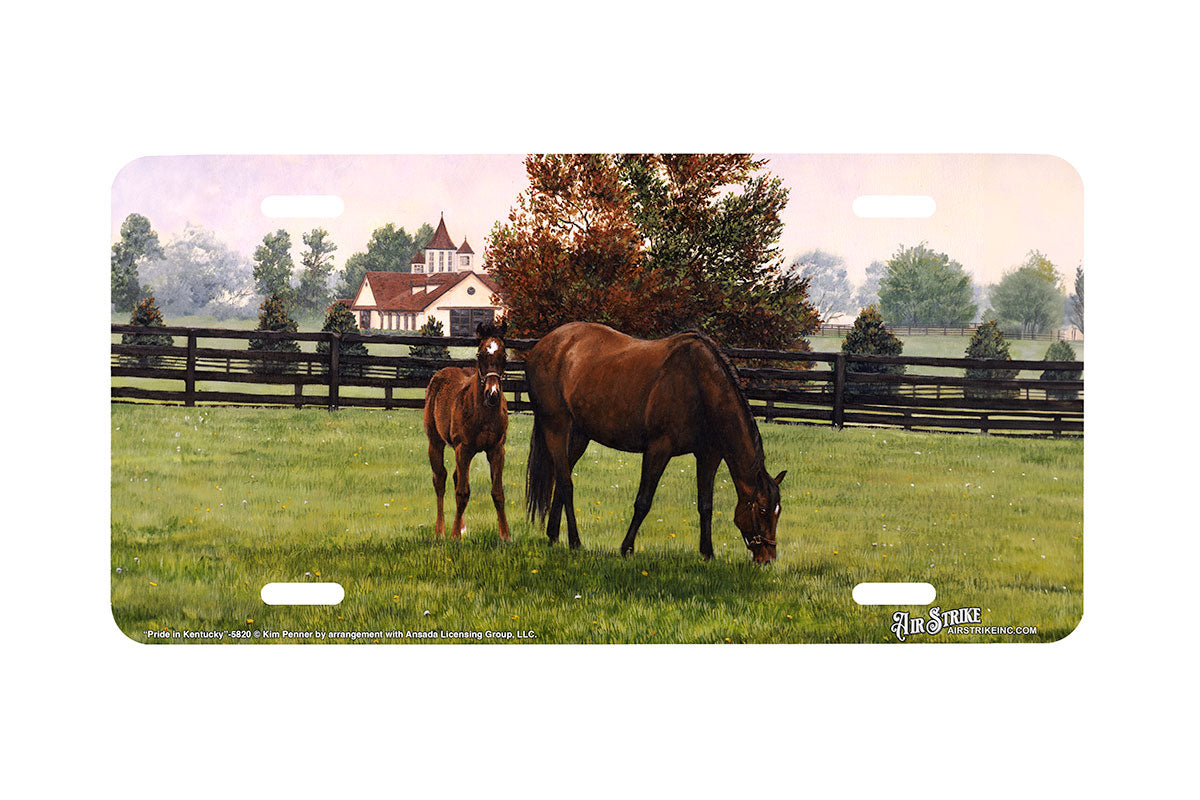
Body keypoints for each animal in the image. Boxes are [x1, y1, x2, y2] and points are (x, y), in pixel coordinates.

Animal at [424, 321, 508, 542]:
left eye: (504, 355)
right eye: (480, 354)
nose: (492, 394)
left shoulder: (497, 450)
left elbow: (497, 492)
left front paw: (505, 536)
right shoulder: (464, 449)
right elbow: (462, 493)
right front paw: (454, 536)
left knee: (454, 477)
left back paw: (461, 528)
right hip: (435, 442)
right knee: (440, 479)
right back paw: (440, 531)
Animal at [525, 321, 787, 563]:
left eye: (778, 511)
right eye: (763, 509)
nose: (768, 559)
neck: (698, 383)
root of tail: (546, 344)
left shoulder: (708, 455)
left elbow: (706, 505)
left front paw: (708, 554)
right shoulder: (658, 450)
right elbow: (643, 502)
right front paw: (626, 549)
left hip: (581, 435)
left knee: (561, 478)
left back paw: (553, 536)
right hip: (556, 427)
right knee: (566, 483)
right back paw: (575, 542)